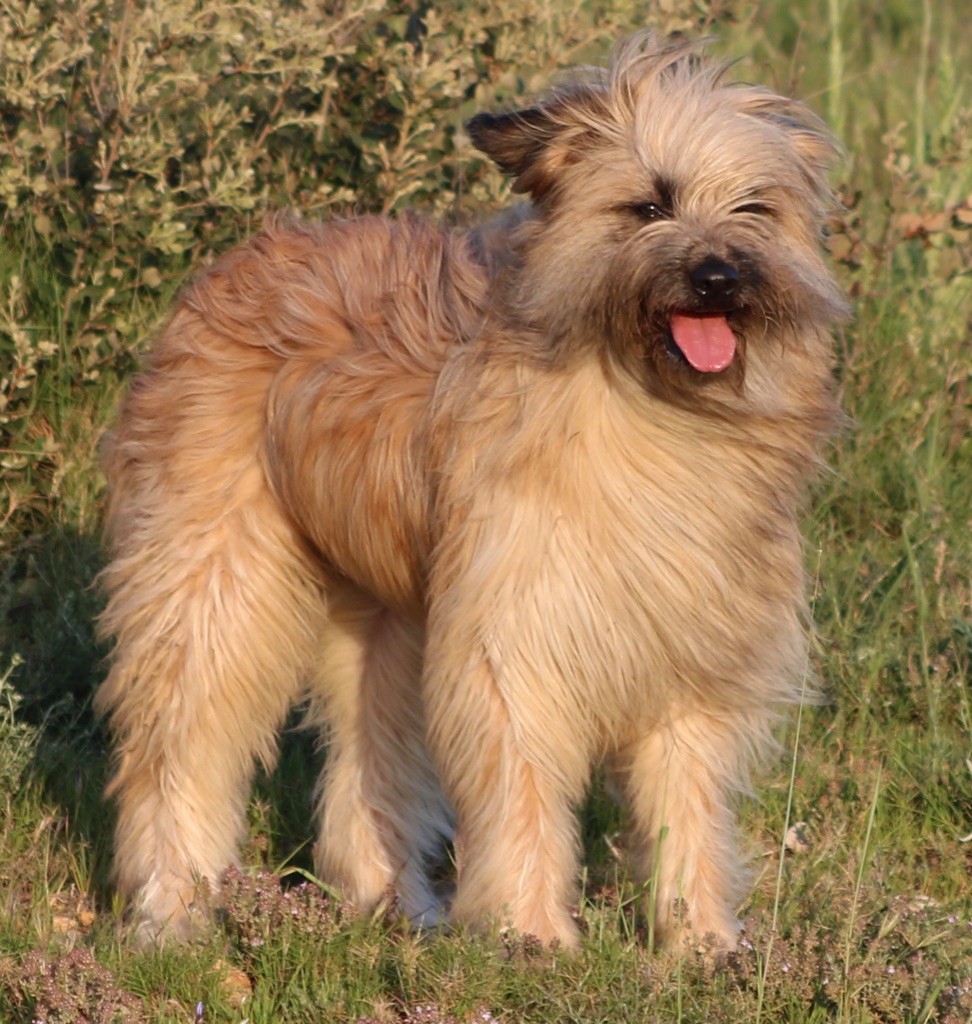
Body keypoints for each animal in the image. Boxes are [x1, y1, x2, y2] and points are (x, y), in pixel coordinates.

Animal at [94, 32, 843, 946]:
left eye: (755, 209)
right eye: (649, 206)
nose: (718, 277)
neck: (654, 408)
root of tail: (235, 262)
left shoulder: (688, 647)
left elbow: (687, 800)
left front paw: (699, 939)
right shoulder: (516, 636)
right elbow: (521, 782)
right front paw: (532, 933)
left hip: (386, 620)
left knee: (371, 768)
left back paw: (394, 903)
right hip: (216, 587)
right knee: (177, 749)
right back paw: (173, 910)